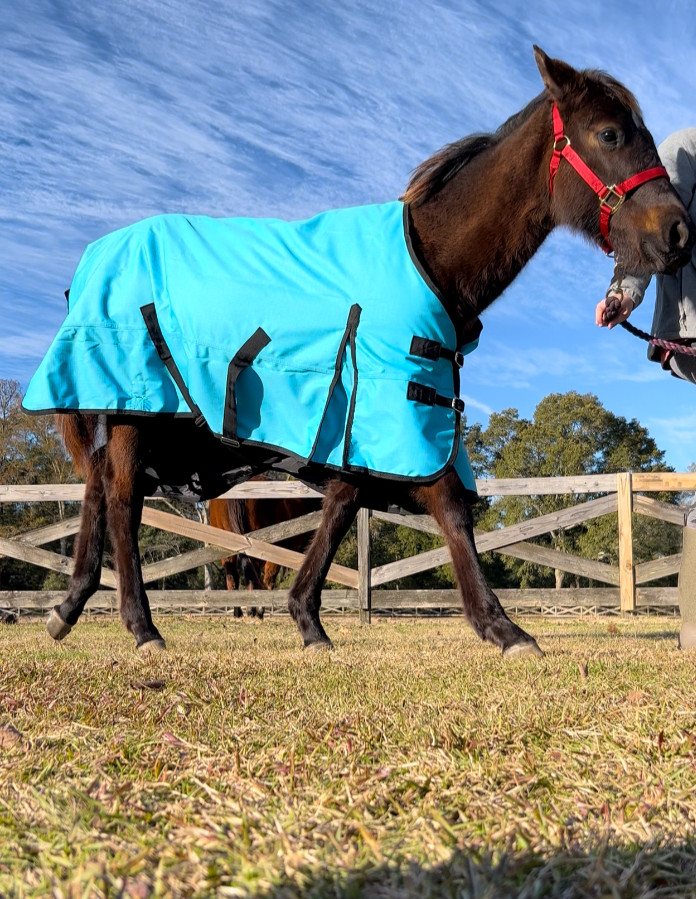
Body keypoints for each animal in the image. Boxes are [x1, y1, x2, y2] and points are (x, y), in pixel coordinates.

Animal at [33, 47, 694, 657]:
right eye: (609, 133)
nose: (679, 232)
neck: (431, 259)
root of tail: (95, 258)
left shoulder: (363, 417)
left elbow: (343, 509)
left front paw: (308, 620)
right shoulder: (395, 404)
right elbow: (449, 508)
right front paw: (504, 628)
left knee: (99, 487)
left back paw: (68, 608)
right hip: (134, 411)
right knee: (121, 499)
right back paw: (141, 627)